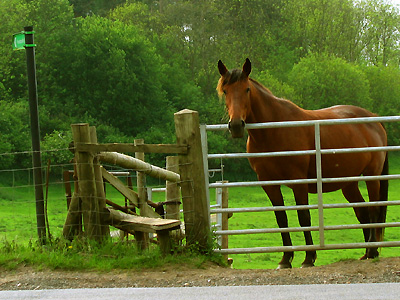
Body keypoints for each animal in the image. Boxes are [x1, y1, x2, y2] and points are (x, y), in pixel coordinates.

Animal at [217, 57, 390, 268]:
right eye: (225, 91)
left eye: (247, 89)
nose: (235, 125)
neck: (274, 130)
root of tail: (374, 119)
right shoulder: (268, 183)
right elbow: (281, 219)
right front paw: (285, 259)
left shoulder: (299, 181)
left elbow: (304, 217)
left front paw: (309, 257)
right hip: (349, 183)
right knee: (363, 212)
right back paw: (366, 252)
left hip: (372, 175)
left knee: (373, 209)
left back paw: (372, 251)